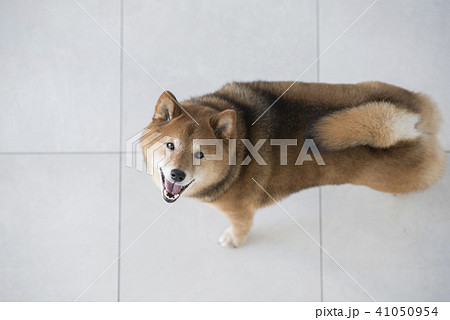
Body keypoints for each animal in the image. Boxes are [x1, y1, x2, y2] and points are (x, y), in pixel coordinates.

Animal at [142, 80, 444, 248]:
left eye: (200, 155)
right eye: (171, 146)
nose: (177, 174)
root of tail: (413, 124)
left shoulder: (240, 212)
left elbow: (240, 230)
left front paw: (233, 240)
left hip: (400, 179)